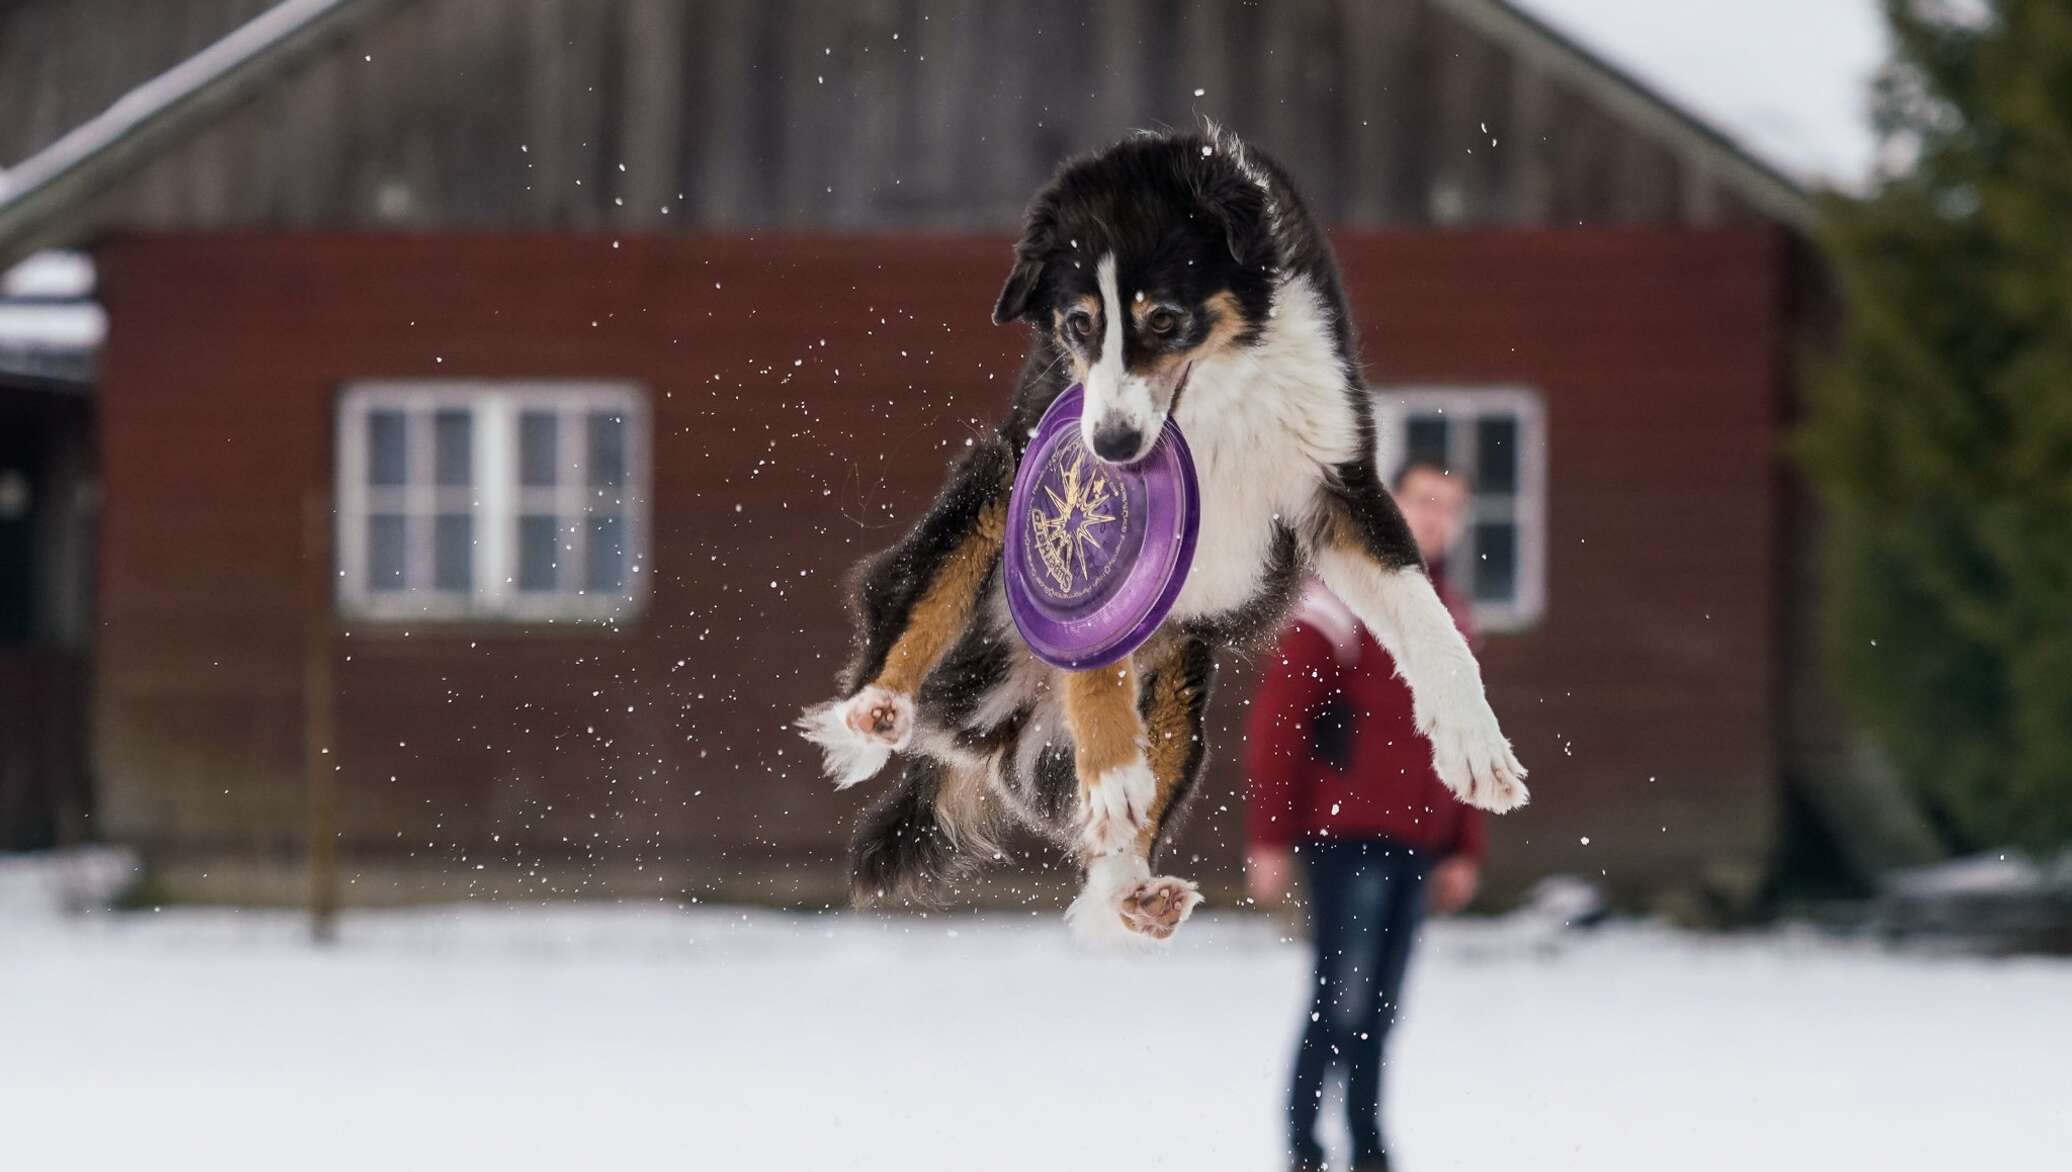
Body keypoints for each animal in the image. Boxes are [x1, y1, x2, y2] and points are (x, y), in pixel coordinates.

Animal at [799, 126, 1533, 948]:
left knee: (1111, 860)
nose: (1112, 445)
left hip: (1181, 691)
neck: (1214, 396)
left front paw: (1475, 748)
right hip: (990, 492)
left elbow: (1427, 619)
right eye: (1079, 323)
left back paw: (1136, 891)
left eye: (1164, 319)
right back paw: (878, 715)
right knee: (910, 613)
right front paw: (1113, 763)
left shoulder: (1335, 484)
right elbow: (1089, 654)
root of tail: (989, 726)